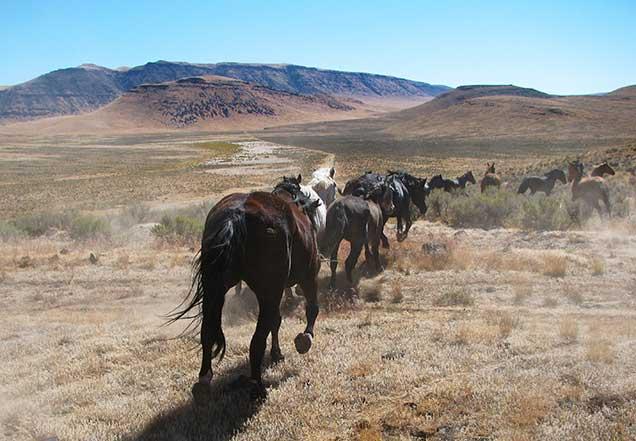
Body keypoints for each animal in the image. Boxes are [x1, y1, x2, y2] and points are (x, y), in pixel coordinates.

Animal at [170, 177, 322, 400]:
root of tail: (236, 217)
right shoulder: (307, 277)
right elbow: (311, 309)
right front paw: (305, 339)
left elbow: (276, 321)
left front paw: (277, 353)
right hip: (271, 290)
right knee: (257, 341)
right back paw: (257, 386)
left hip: (215, 289)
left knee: (207, 332)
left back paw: (204, 382)